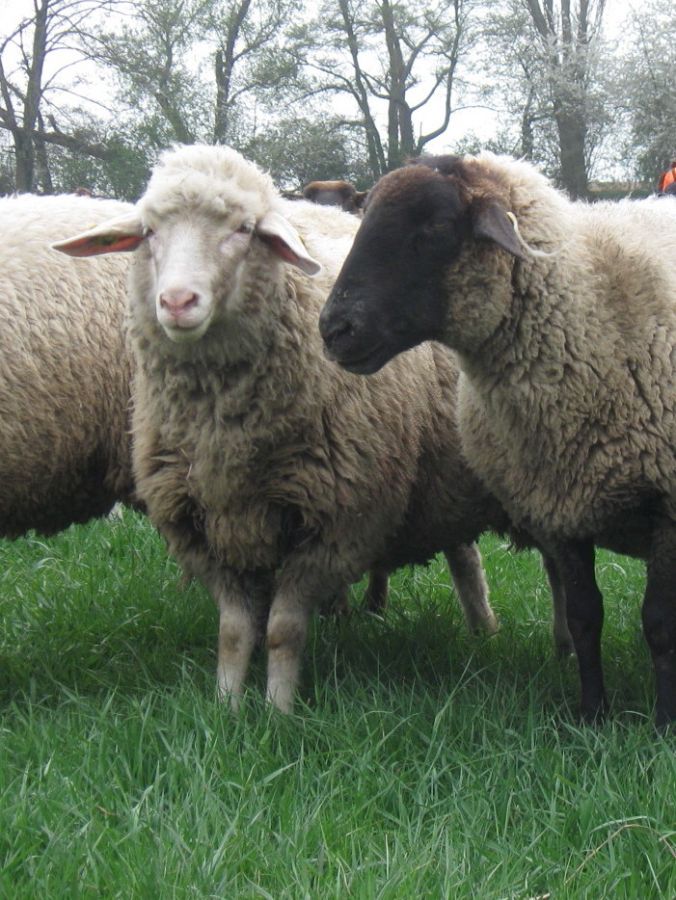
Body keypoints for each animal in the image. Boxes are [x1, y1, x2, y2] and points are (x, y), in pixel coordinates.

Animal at [51, 143, 568, 715]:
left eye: (244, 229)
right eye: (148, 231)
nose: (178, 302)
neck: (223, 433)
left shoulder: (335, 522)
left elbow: (282, 629)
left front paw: (278, 711)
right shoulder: (203, 527)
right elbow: (234, 631)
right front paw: (227, 707)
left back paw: (537, 642)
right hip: (442, 478)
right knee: (463, 553)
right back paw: (480, 630)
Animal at [319, 152, 676, 726]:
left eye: (436, 226)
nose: (334, 329)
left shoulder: (666, 503)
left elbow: (659, 624)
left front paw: (664, 723)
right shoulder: (562, 503)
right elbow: (585, 617)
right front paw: (591, 714)